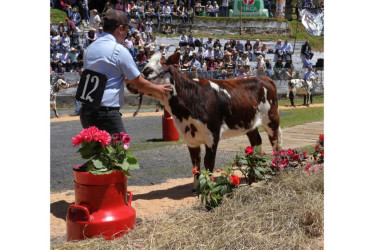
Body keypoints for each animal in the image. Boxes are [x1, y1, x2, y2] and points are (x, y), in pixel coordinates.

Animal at [130, 51, 282, 187]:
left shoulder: (212, 135)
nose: (129, 83)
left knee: (276, 143)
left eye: (149, 70)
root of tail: (264, 78)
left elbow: (208, 163)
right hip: (249, 122)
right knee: (256, 142)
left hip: (271, 119)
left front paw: (207, 187)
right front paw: (196, 188)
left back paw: (277, 169)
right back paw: (253, 176)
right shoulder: (190, 138)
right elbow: (195, 164)